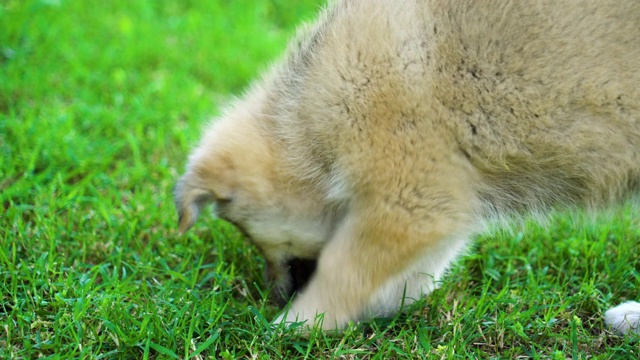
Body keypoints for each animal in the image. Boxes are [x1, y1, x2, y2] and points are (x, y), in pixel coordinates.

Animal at [174, 0, 640, 334]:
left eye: (250, 235)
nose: (276, 295)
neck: (305, 125)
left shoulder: (407, 202)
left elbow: (343, 271)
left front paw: (294, 325)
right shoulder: (442, 202)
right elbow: (408, 276)